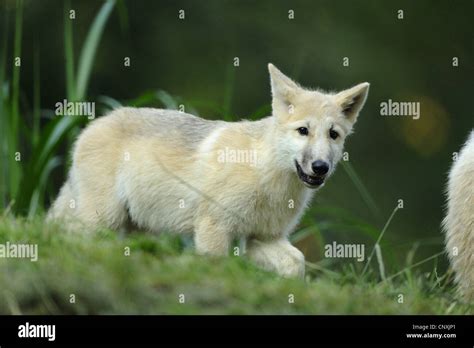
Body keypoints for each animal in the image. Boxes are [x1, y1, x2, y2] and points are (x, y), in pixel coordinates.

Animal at [49, 64, 370, 278]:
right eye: (303, 131)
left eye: (333, 135)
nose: (320, 167)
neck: (265, 176)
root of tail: (92, 124)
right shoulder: (213, 229)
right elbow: (217, 266)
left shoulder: (263, 239)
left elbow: (296, 263)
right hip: (103, 221)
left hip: (132, 228)